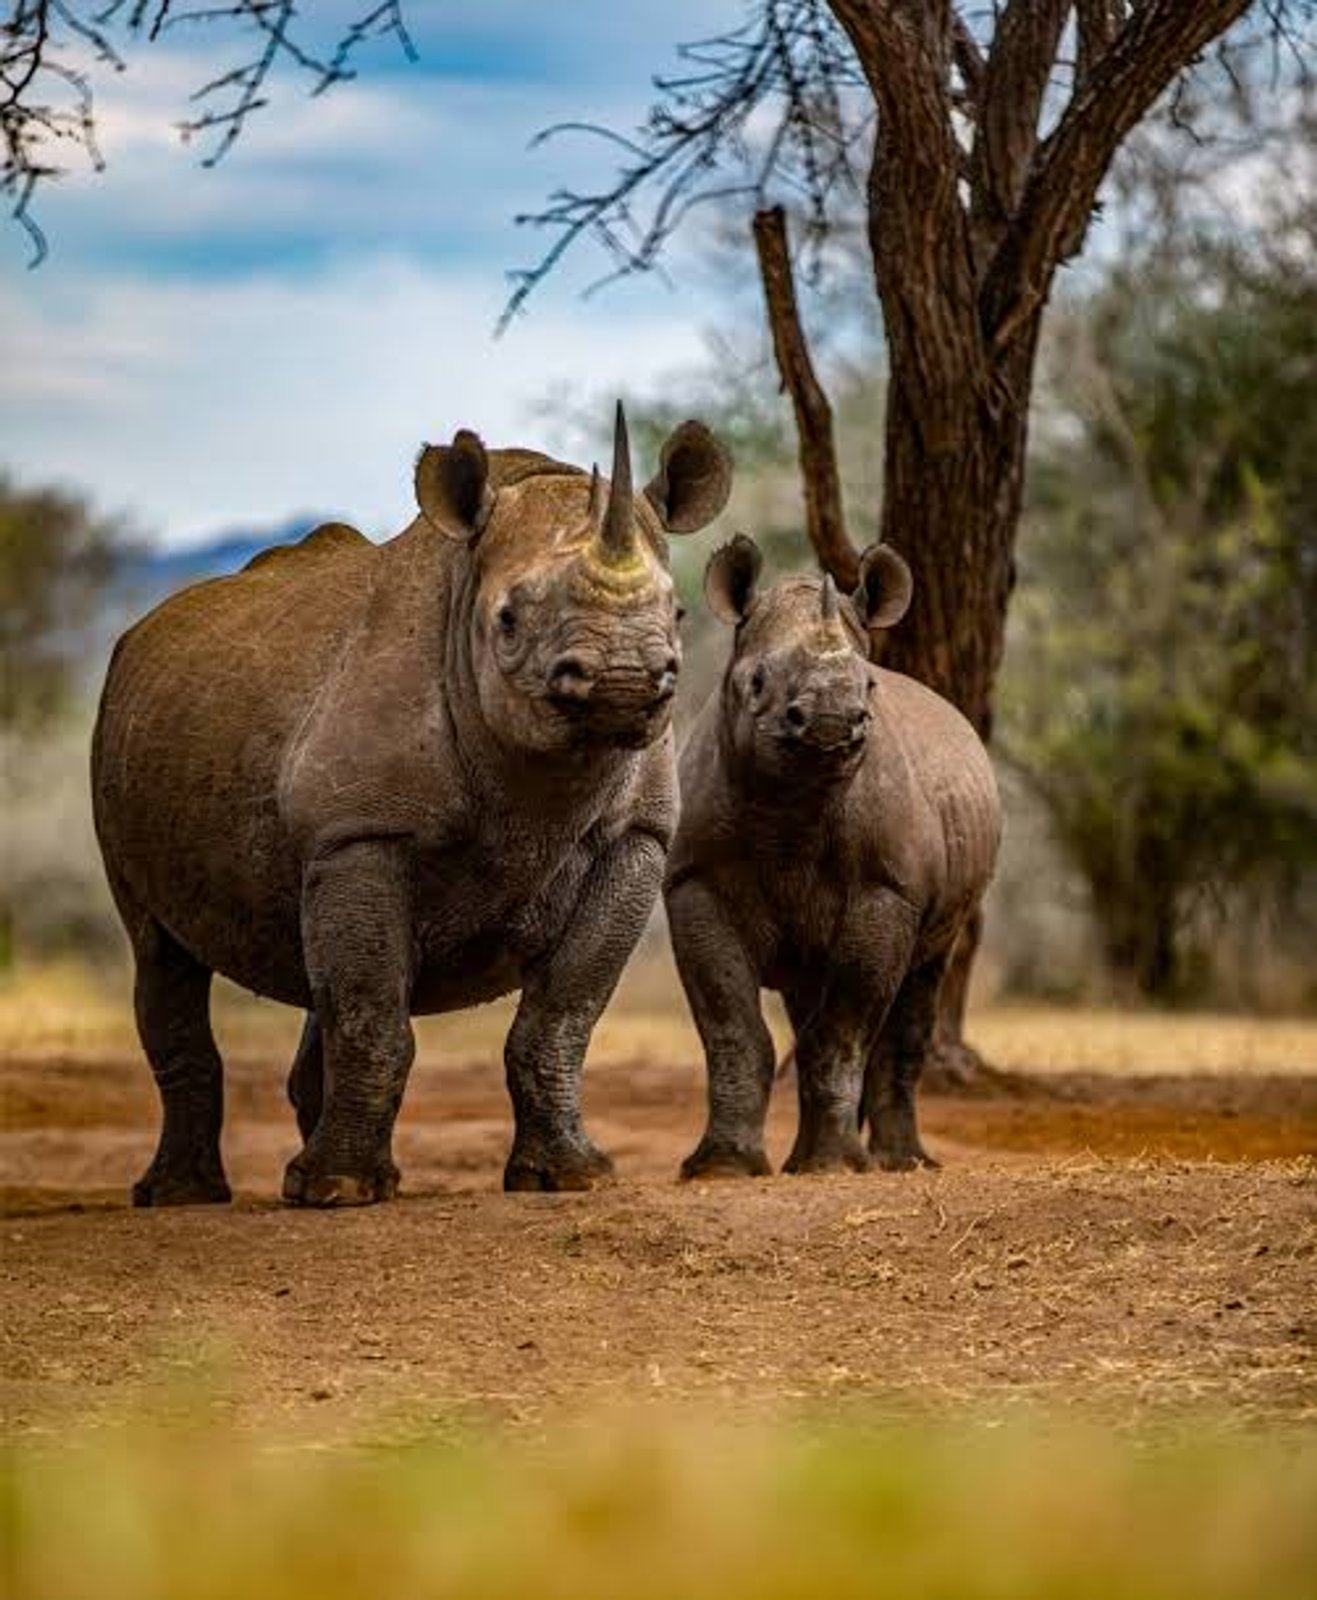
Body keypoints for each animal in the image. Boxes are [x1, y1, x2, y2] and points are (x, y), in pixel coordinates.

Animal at [92, 405, 732, 1206]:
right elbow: (370, 1007)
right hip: (119, 735)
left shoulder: (635, 838)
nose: (623, 678)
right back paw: (190, 1195)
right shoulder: (363, 831)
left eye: (677, 611)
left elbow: (563, 1010)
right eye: (508, 620)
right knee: (159, 947)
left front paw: (570, 1177)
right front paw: (337, 1193)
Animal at [665, 535, 1000, 1178]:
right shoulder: (693, 883)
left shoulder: (887, 890)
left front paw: (837, 1168)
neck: (790, 803)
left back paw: (903, 1163)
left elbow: (842, 1030)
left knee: (919, 985)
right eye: (756, 681)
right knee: (805, 995)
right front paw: (721, 1168)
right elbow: (732, 1026)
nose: (829, 722)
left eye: (869, 686)